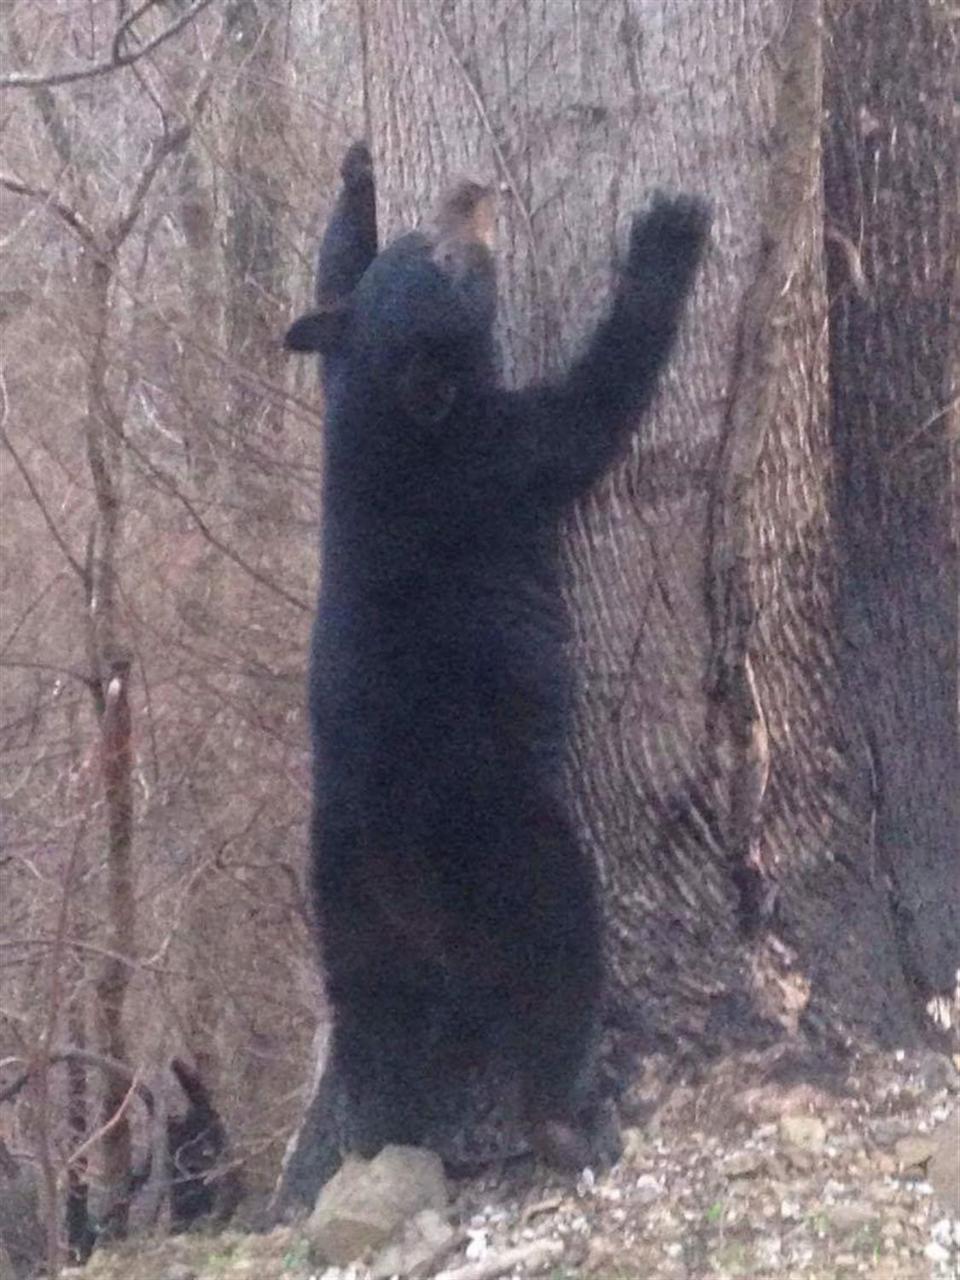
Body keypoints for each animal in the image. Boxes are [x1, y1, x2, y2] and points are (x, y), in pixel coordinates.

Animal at [281, 145, 711, 1203]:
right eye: (452, 265)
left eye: (423, 241)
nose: (470, 195)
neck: (393, 421)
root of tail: (398, 874)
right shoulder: (494, 459)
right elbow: (591, 409)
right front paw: (667, 235)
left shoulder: (340, 391)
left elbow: (329, 283)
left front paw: (354, 178)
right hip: (510, 851)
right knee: (558, 966)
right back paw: (573, 1123)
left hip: (342, 917)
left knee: (375, 1037)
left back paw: (381, 1140)